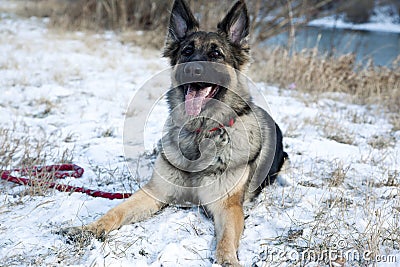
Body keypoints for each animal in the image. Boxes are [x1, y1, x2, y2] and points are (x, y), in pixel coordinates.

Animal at [61, 1, 288, 266]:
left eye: (216, 54)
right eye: (187, 51)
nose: (193, 69)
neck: (199, 133)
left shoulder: (228, 207)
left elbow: (226, 239)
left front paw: (228, 260)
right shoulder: (154, 193)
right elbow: (117, 210)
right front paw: (90, 228)